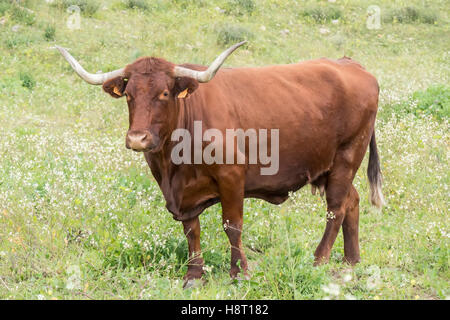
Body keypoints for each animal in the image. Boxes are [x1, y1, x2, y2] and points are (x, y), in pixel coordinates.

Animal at [56, 42, 384, 288]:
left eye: (164, 93)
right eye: (128, 94)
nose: (137, 138)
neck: (175, 162)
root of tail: (352, 65)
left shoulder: (232, 176)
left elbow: (232, 225)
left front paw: (240, 273)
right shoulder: (179, 193)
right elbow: (191, 230)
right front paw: (194, 275)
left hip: (347, 156)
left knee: (336, 208)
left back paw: (319, 260)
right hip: (331, 167)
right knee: (352, 201)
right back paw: (352, 260)